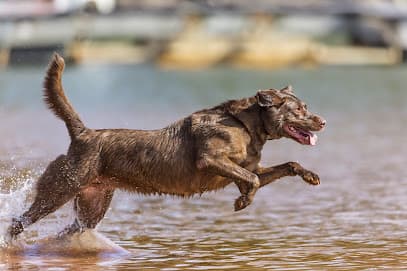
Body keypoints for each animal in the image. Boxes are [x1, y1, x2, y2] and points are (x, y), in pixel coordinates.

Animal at [7, 54, 326, 241]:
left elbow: (285, 166)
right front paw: (243, 202)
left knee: (68, 230)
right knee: (18, 222)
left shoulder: (251, 166)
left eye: (307, 106)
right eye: (299, 110)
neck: (246, 125)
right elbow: (253, 180)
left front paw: (310, 176)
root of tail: (83, 134)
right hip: (60, 189)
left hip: (92, 205)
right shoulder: (210, 159)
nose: (322, 121)